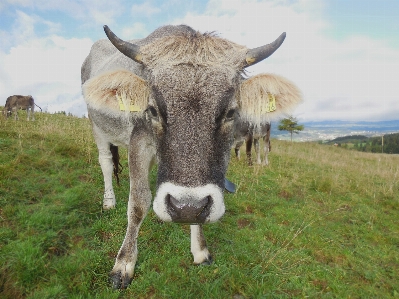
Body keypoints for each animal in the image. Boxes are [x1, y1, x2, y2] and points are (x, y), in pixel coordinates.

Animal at [81, 23, 304, 288]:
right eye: (153, 110)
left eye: (230, 112)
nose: (184, 207)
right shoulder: (139, 141)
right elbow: (138, 203)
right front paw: (124, 264)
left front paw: (200, 250)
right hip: (96, 126)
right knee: (105, 163)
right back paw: (109, 201)